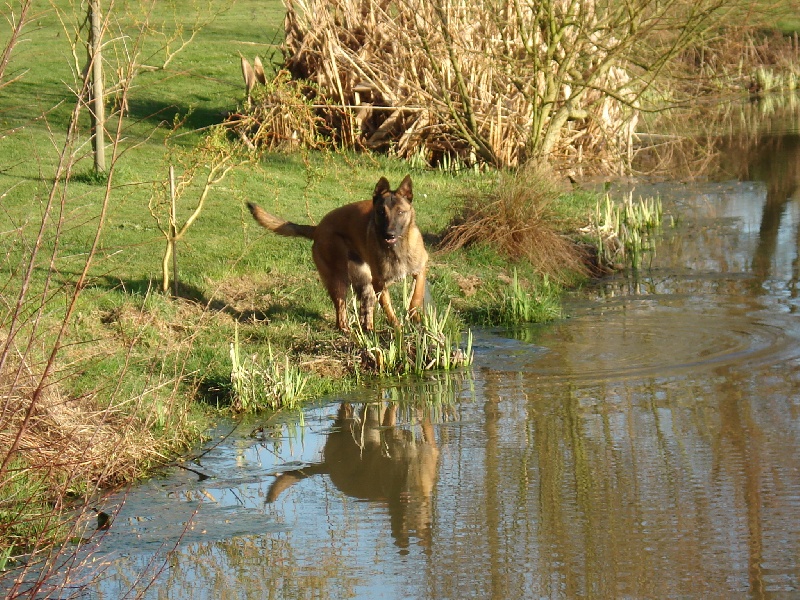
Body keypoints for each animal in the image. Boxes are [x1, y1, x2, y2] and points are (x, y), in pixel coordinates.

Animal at [248, 176, 428, 330]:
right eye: (381, 212)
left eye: (400, 212)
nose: (388, 234)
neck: (397, 248)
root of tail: (318, 228)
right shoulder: (379, 283)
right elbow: (389, 309)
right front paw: (398, 329)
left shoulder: (420, 269)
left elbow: (416, 296)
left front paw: (415, 318)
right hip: (340, 279)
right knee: (341, 310)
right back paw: (347, 331)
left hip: (364, 283)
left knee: (365, 309)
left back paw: (369, 331)